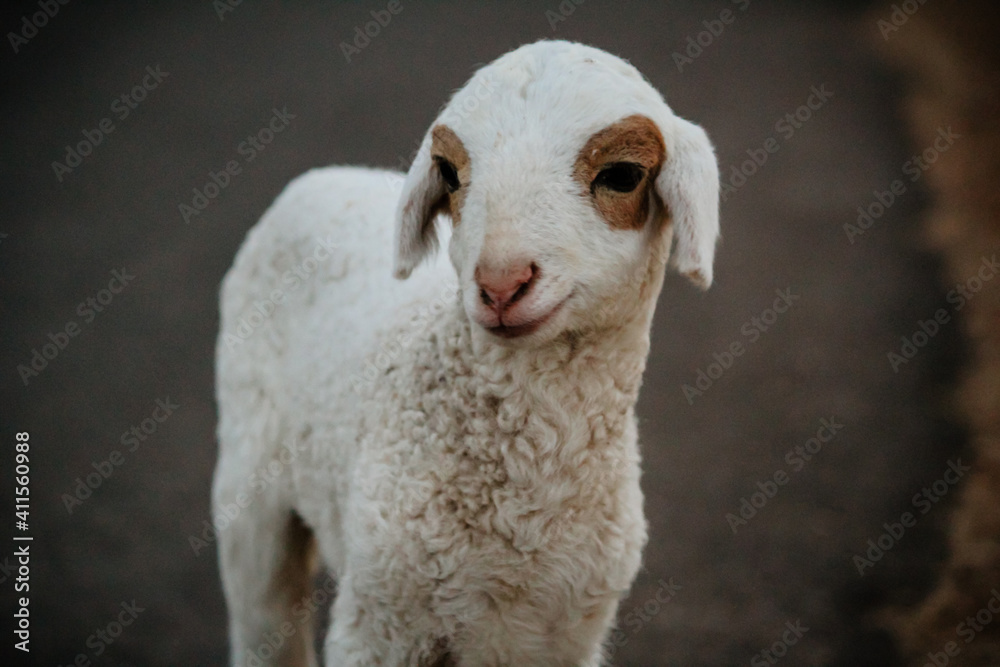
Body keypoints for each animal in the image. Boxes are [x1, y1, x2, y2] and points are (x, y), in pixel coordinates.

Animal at [215, 39, 724, 664]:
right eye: (451, 173)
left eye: (623, 175)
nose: (501, 284)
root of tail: (323, 176)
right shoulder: (380, 621)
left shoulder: (564, 633)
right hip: (247, 482)